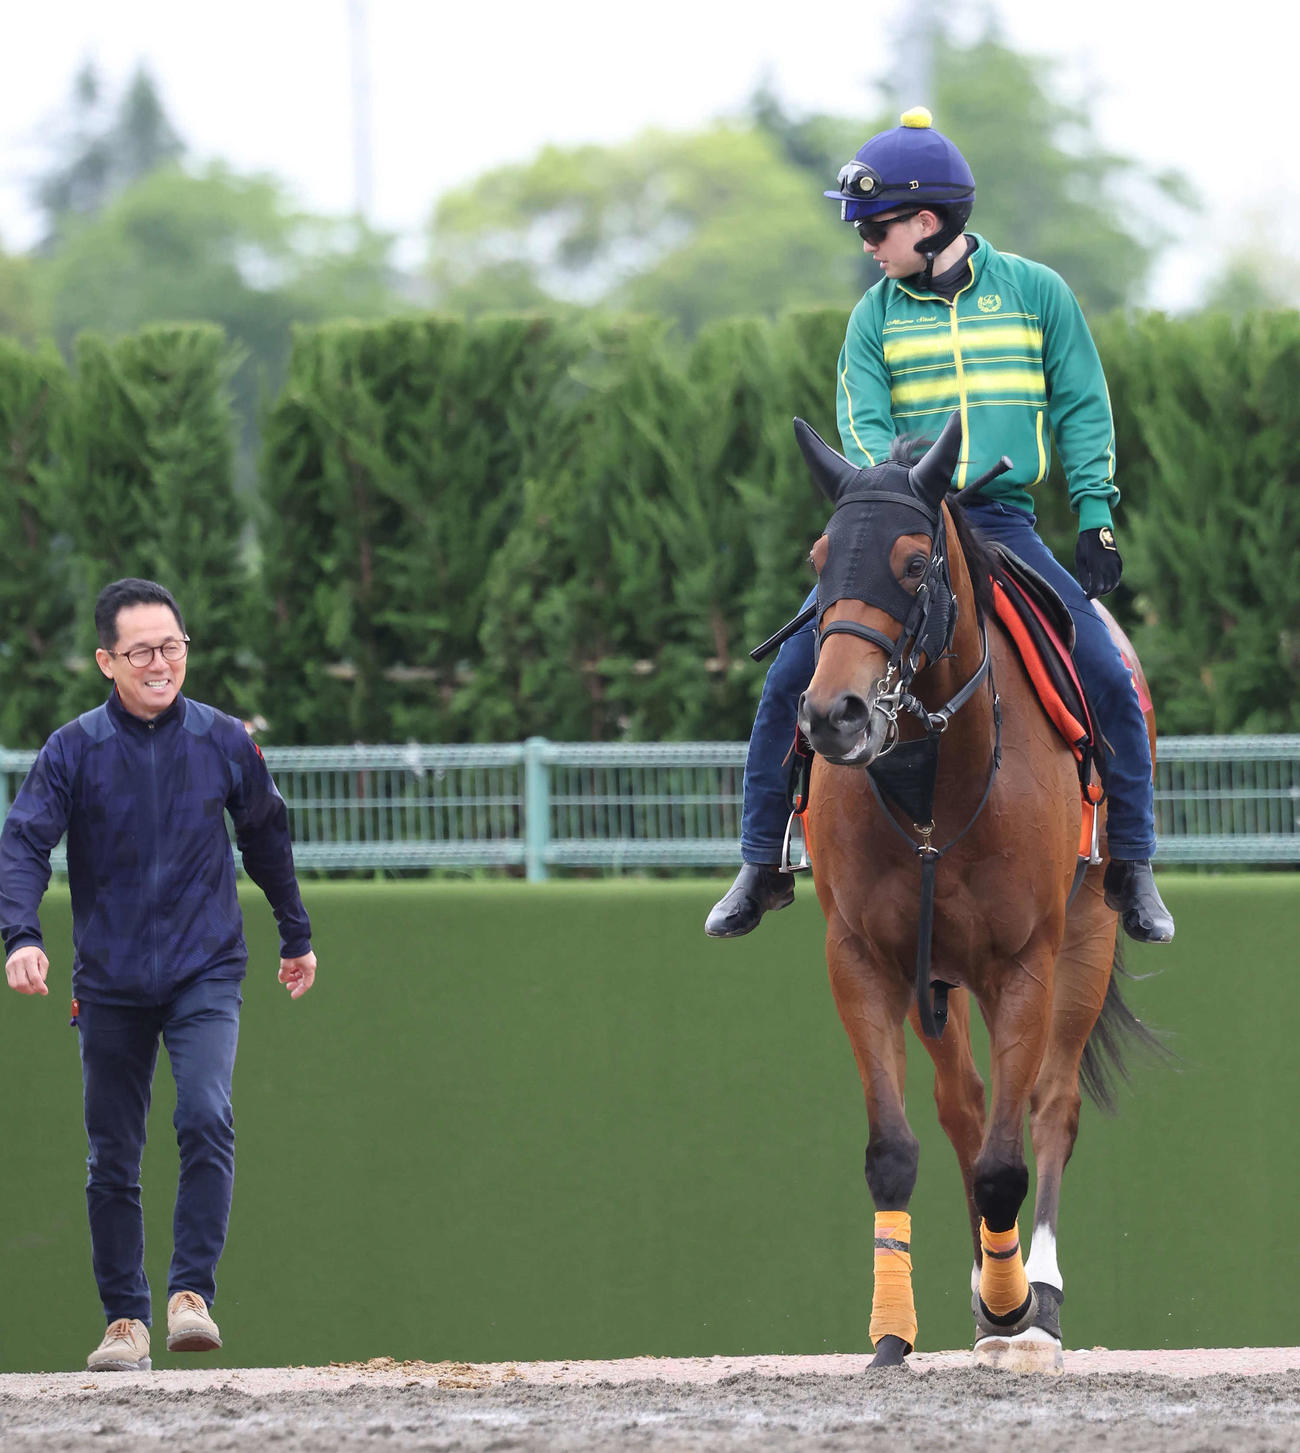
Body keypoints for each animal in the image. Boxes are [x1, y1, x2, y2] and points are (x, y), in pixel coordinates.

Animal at [791, 412, 1158, 1372]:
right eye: (818, 558)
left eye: (914, 560)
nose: (832, 714)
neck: (931, 786)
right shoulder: (863, 958)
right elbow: (897, 1148)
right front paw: (893, 1331)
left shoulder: (1026, 960)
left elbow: (1008, 1158)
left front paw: (1014, 1301)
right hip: (942, 975)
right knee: (964, 1108)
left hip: (1087, 938)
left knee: (1050, 1106)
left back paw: (1037, 1294)